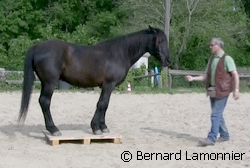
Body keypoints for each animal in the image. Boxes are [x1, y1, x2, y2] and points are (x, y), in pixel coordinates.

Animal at [17, 25, 170, 136]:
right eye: (159, 40)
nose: (168, 60)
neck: (119, 53)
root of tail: (37, 47)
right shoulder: (109, 84)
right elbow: (102, 104)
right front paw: (97, 128)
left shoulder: (107, 86)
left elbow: (104, 105)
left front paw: (102, 126)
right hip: (50, 83)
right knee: (45, 101)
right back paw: (54, 129)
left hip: (45, 83)